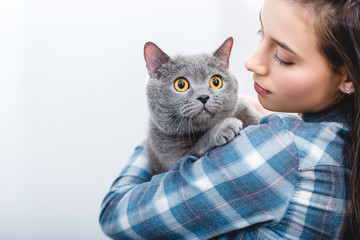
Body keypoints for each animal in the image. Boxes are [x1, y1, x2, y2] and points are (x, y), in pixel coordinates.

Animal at [145, 37, 260, 174]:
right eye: (181, 84)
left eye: (216, 81)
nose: (203, 97)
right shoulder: (175, 162)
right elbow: (197, 148)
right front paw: (223, 127)